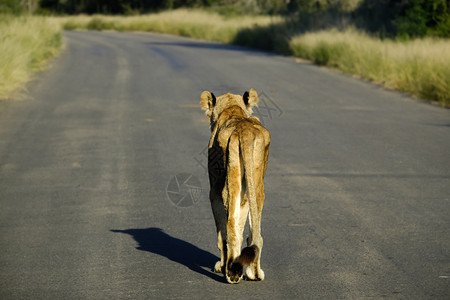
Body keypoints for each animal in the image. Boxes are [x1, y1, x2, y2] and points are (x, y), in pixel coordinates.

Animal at [201, 88, 270, 284]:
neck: (233, 111)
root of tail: (245, 129)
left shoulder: (214, 192)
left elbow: (221, 235)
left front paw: (221, 265)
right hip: (255, 180)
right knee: (255, 233)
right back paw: (253, 273)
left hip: (231, 180)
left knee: (231, 225)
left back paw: (234, 272)